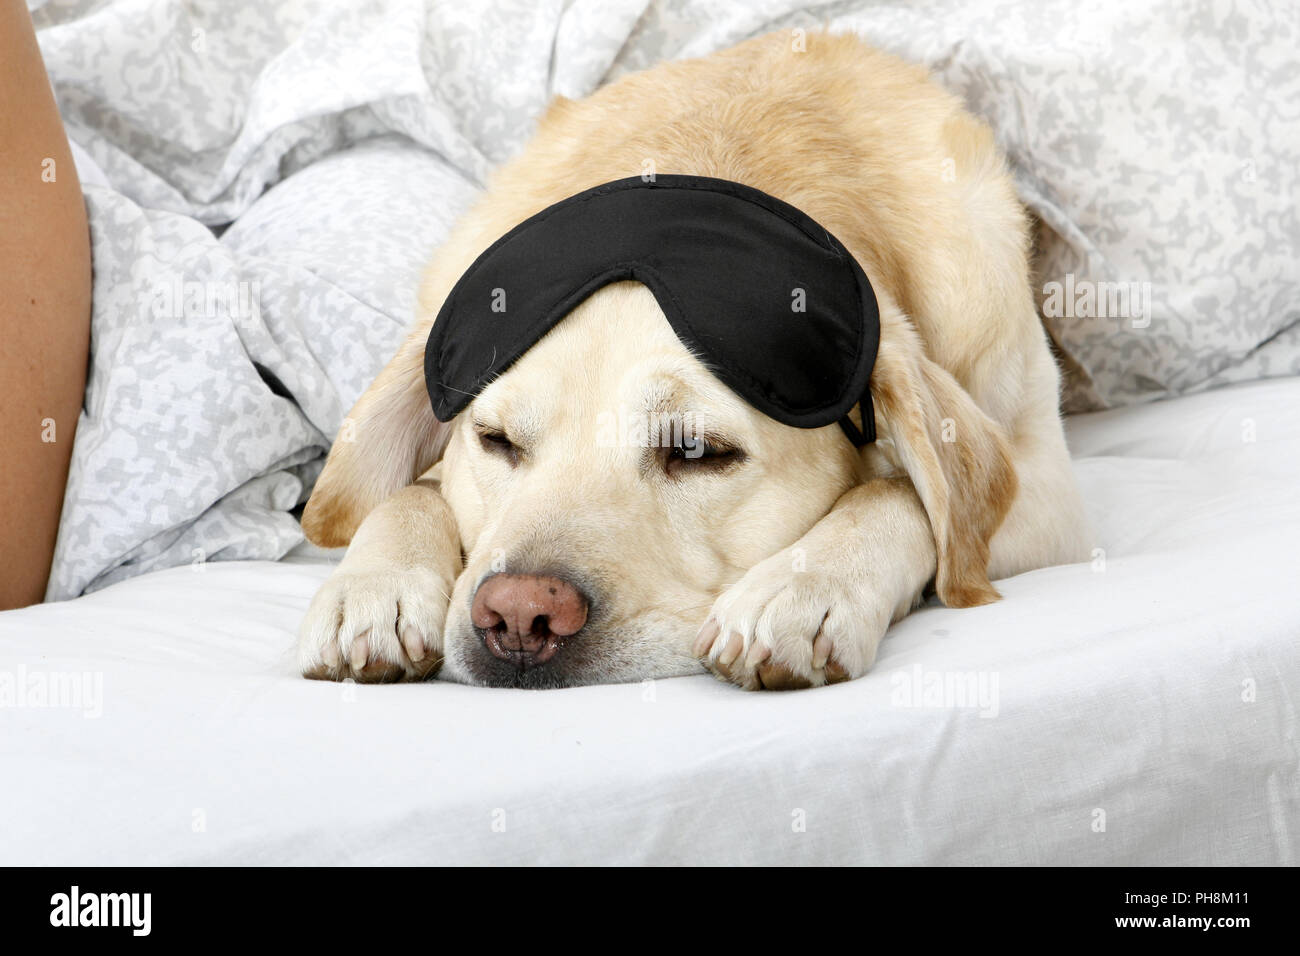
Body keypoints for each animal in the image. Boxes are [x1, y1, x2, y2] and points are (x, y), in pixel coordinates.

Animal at [292, 29, 1086, 686]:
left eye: (699, 452)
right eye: (496, 441)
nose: (519, 616)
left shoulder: (1050, 498)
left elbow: (902, 496)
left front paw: (803, 589)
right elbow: (408, 493)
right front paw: (375, 587)